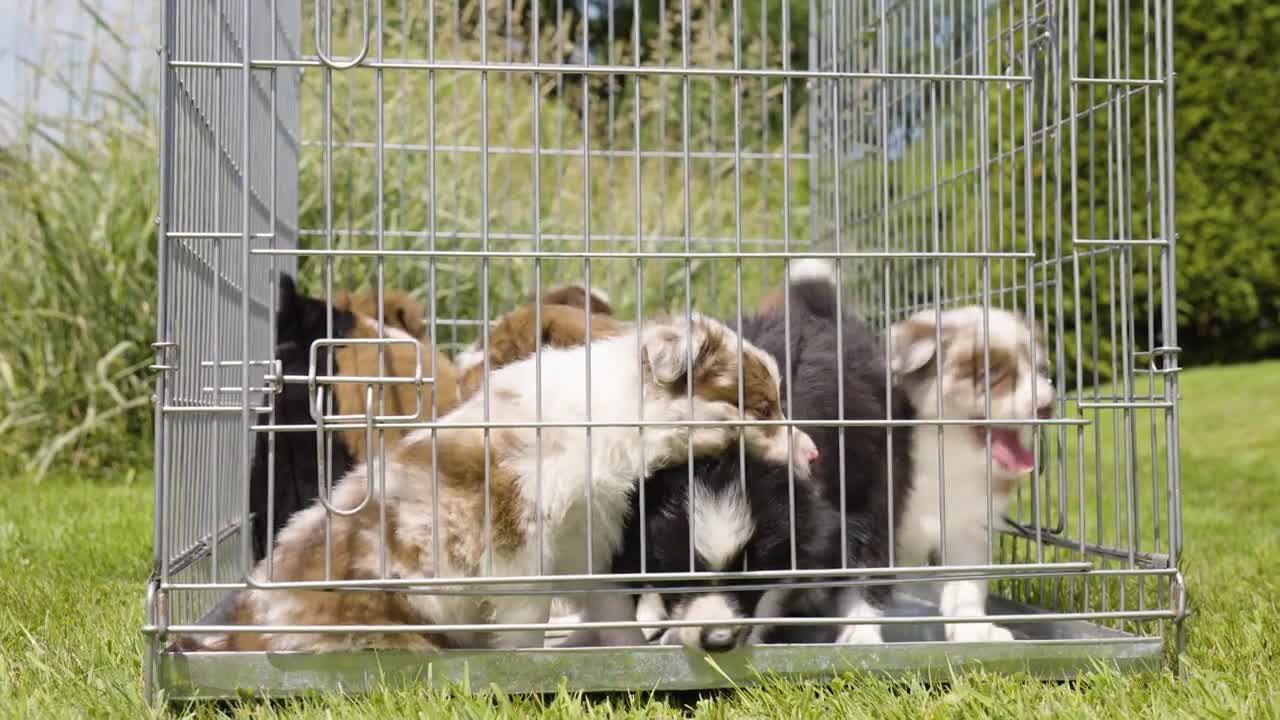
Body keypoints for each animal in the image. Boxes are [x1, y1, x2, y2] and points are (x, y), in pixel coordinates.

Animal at [170, 311, 819, 653]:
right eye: (763, 409)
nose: (813, 451)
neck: (609, 417)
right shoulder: (521, 551)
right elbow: (525, 623)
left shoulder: (589, 543)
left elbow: (612, 609)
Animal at [890, 302, 1059, 638]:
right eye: (989, 374)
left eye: (1042, 371)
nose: (1048, 406)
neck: (947, 456)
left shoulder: (966, 529)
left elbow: (964, 587)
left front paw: (976, 632)